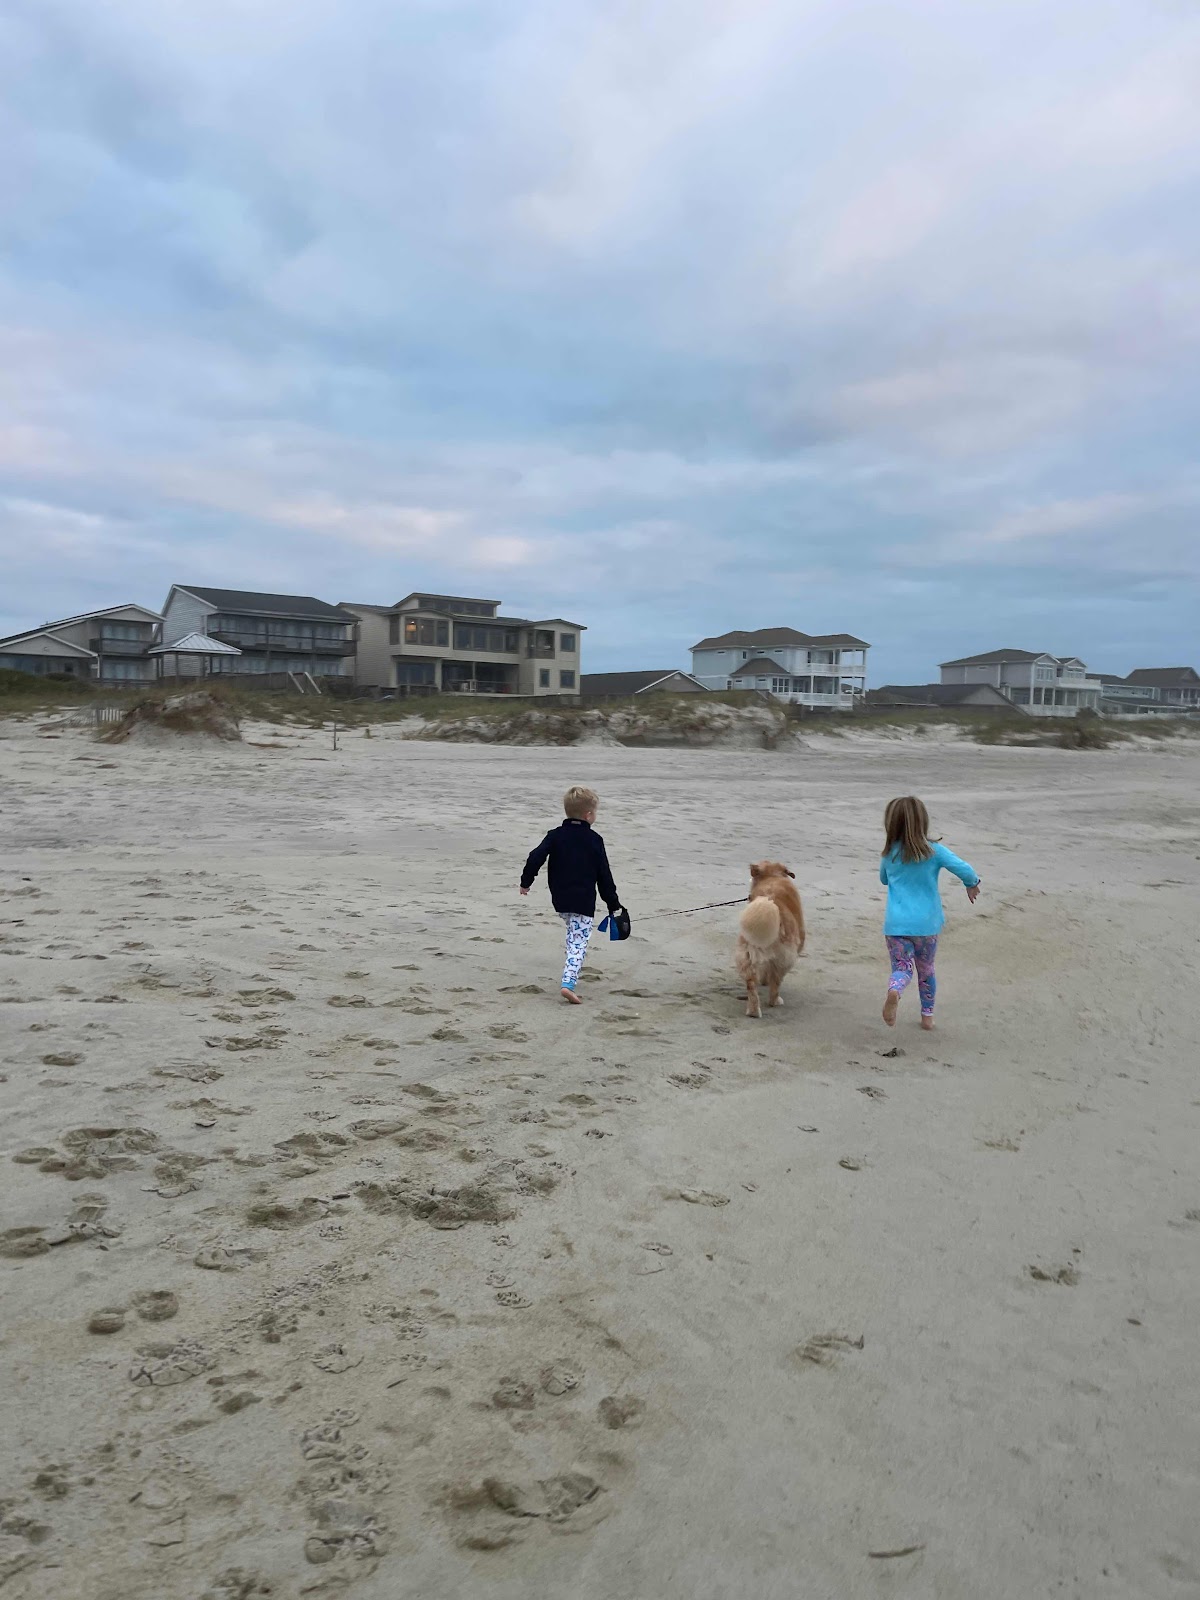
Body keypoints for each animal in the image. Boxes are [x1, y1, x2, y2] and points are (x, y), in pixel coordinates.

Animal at [736, 861, 805, 1018]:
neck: (772, 876)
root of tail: (769, 903)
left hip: (748, 954)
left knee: (751, 983)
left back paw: (753, 1011)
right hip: (784, 958)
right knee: (776, 981)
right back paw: (775, 1001)